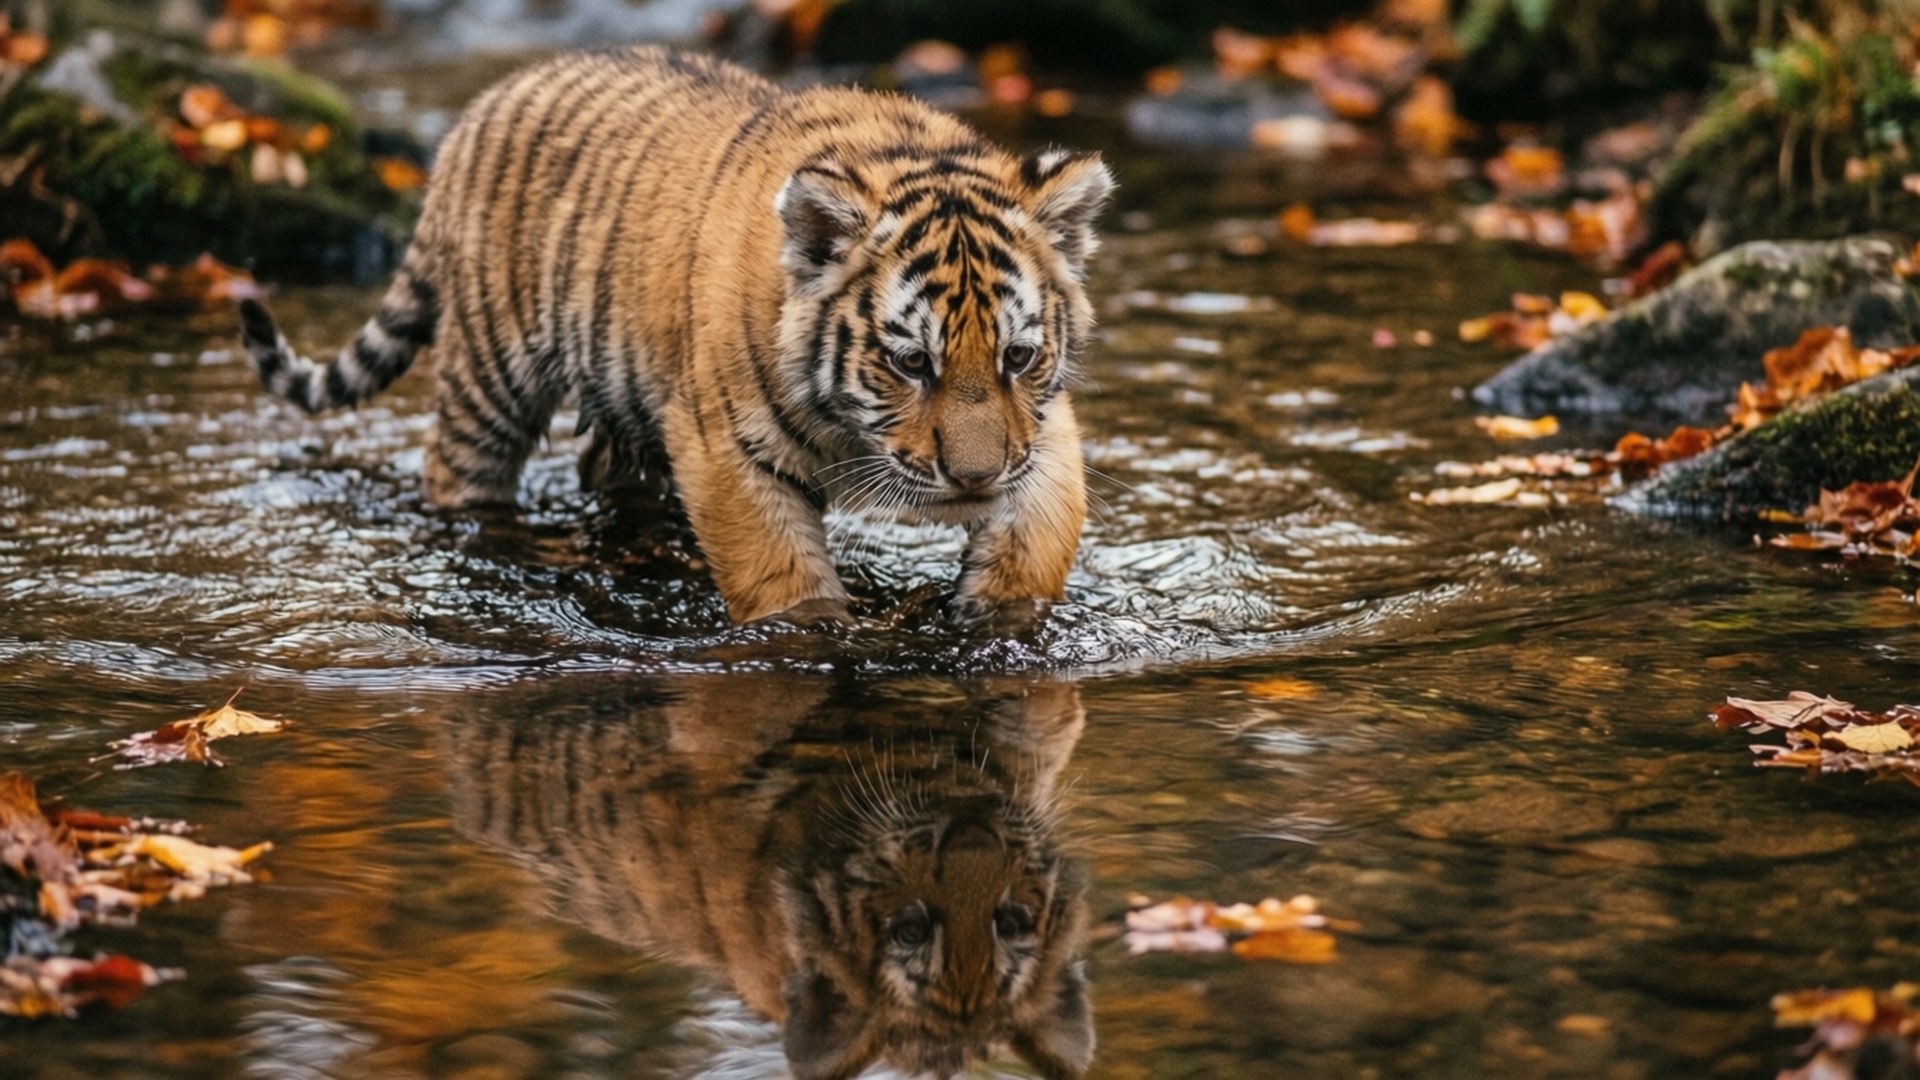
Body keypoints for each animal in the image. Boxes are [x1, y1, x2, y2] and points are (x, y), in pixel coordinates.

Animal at [238, 46, 1113, 627]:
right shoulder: (728, 449)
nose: (973, 479)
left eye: (1018, 357)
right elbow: (780, 580)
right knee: (457, 470)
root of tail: (490, 98)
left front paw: (994, 616)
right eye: (909, 363)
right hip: (489, 377)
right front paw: (823, 634)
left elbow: (1040, 532)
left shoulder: (1041, 432)